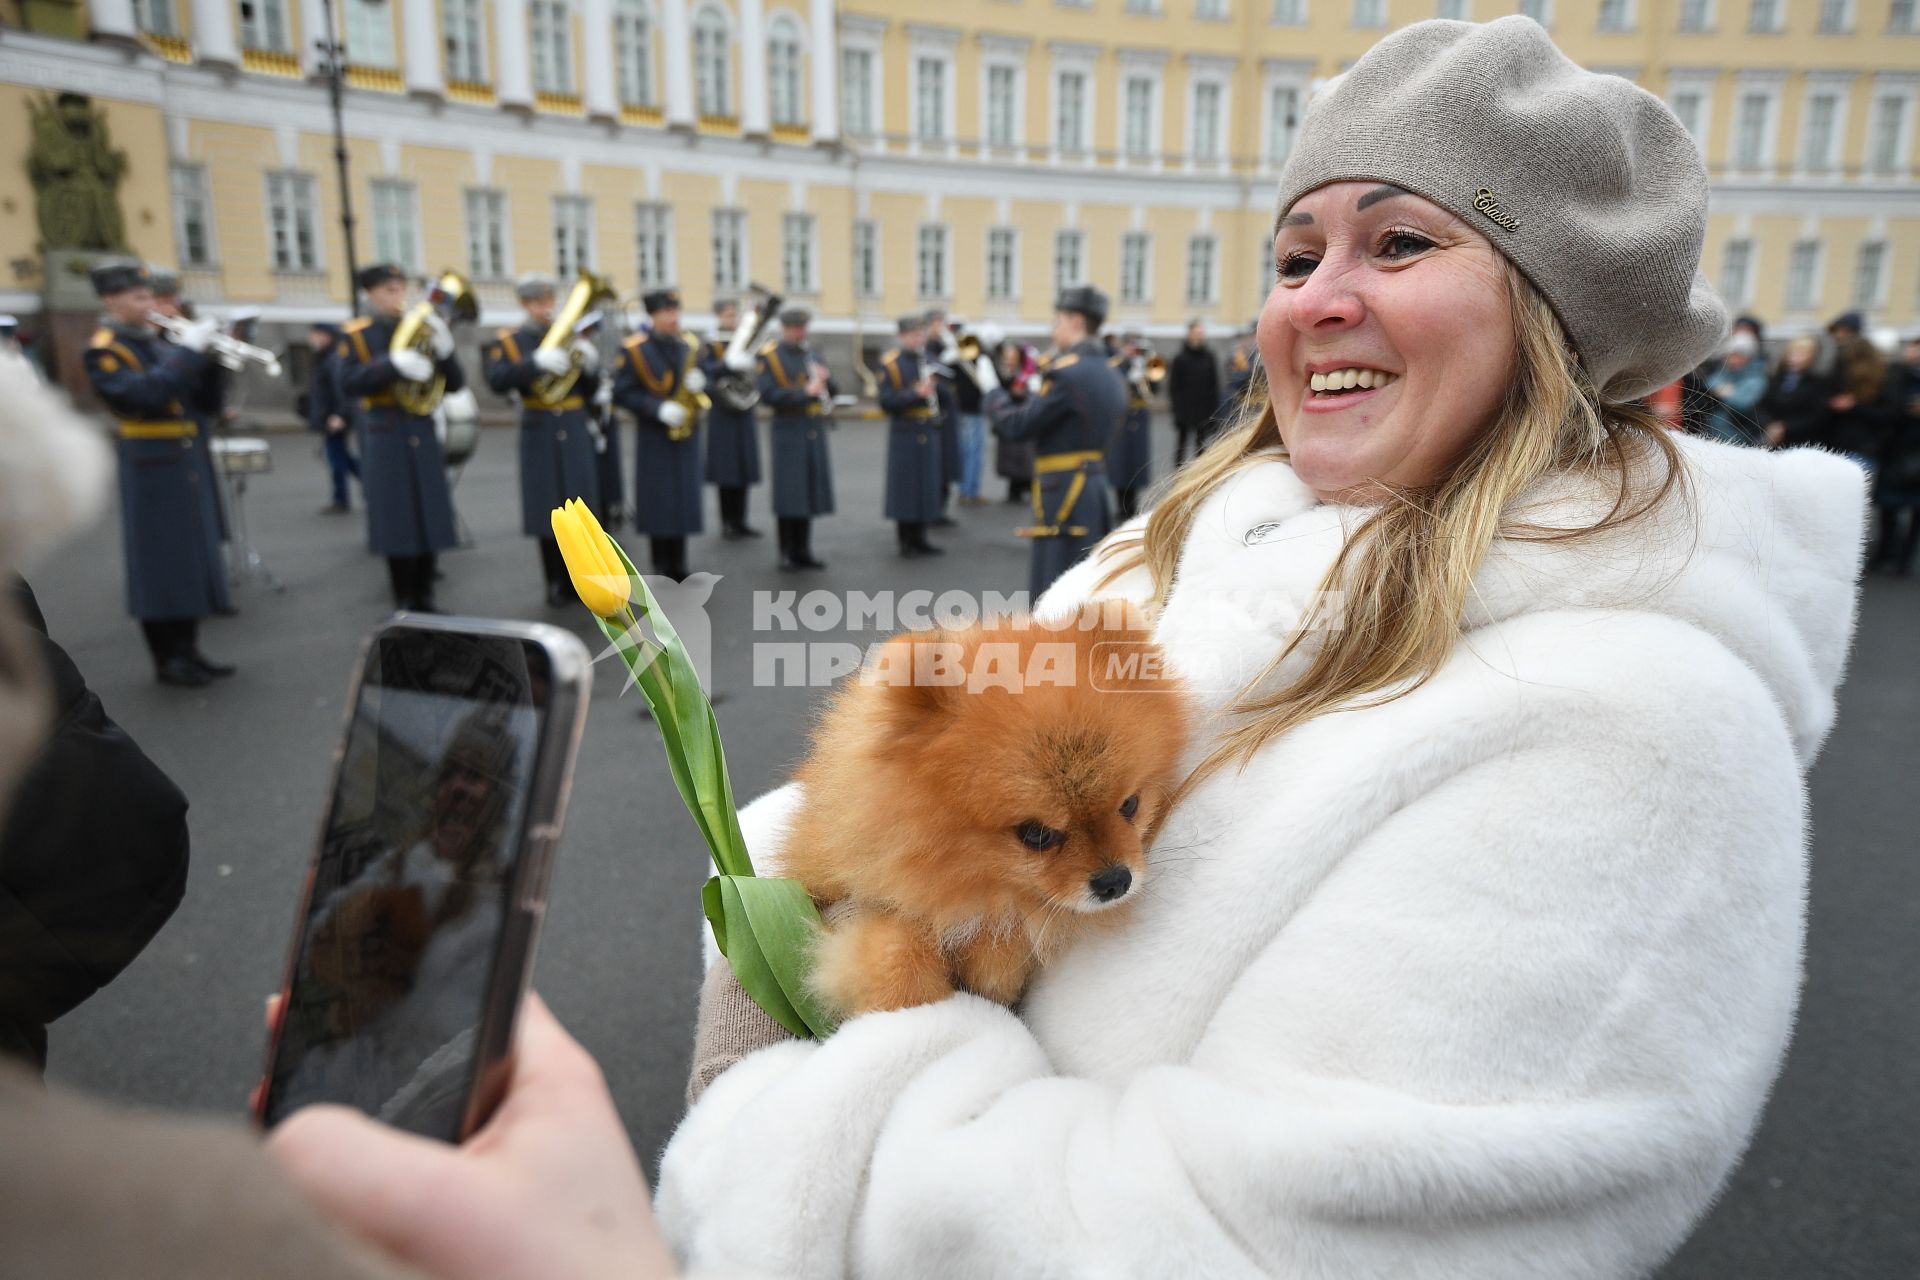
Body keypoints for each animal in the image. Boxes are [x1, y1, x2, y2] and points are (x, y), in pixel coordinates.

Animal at [779, 602, 1182, 1020]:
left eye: (1130, 805)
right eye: (1036, 835)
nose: (1115, 880)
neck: (974, 887)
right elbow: (893, 951)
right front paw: (905, 998)